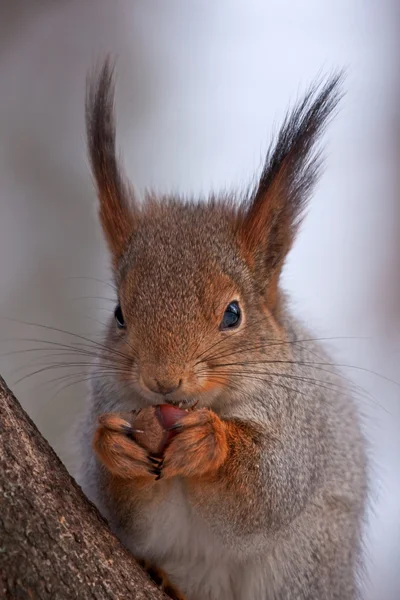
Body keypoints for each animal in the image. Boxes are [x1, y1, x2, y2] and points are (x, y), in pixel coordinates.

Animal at [76, 59, 368, 600]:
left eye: (233, 314)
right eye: (119, 313)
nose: (163, 380)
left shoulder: (299, 429)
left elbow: (263, 492)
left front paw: (211, 442)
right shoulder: (107, 400)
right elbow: (129, 514)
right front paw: (113, 447)